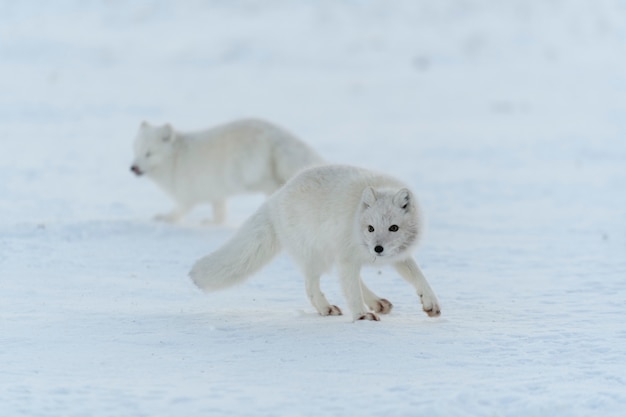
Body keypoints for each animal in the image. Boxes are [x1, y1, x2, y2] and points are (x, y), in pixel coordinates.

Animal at [127, 118, 322, 223]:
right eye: (136, 150)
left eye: (149, 153)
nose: (133, 168)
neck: (175, 158)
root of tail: (276, 134)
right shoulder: (215, 192)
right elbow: (219, 211)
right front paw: (213, 223)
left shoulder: (186, 194)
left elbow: (180, 210)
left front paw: (166, 218)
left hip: (245, 178)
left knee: (273, 186)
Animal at [189, 164, 438, 320]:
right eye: (371, 228)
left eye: (394, 228)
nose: (378, 248)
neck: (356, 222)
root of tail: (276, 197)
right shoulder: (348, 257)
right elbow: (351, 290)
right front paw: (361, 316)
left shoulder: (396, 255)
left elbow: (419, 278)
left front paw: (431, 303)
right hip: (317, 256)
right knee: (311, 286)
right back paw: (326, 308)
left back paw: (377, 302)